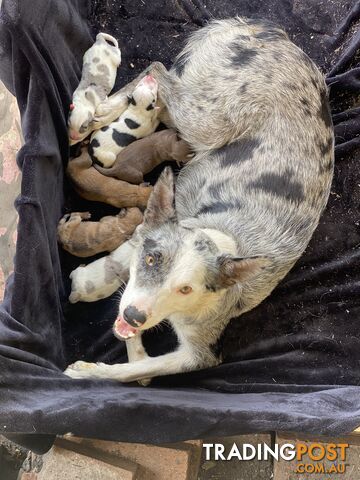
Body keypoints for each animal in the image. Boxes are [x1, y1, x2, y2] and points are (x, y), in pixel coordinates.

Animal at [65, 16, 334, 386]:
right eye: (152, 260)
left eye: (186, 290)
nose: (134, 317)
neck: (220, 234)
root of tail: (265, 31)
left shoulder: (200, 353)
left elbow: (140, 367)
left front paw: (96, 371)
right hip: (207, 118)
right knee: (158, 68)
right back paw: (103, 109)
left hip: (200, 117)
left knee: (161, 83)